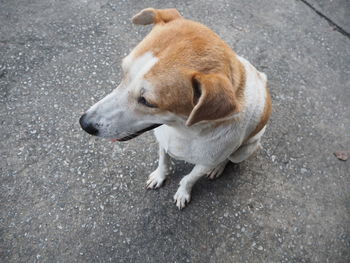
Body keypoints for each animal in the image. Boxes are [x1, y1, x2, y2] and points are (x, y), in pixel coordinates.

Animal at [79, 8, 270, 210]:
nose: (84, 123)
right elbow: (164, 162)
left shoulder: (204, 163)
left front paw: (183, 192)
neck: (184, 131)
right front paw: (159, 176)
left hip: (244, 151)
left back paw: (218, 167)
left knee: (228, 158)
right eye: (124, 73)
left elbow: (189, 178)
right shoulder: (163, 142)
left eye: (147, 101)